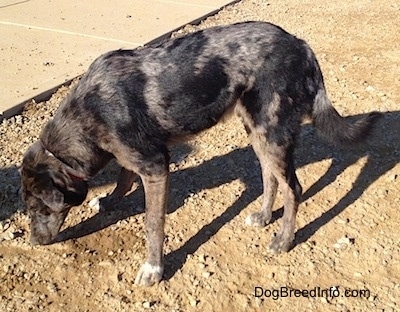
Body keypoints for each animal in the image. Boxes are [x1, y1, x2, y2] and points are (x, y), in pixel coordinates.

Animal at [19, 21, 382, 286]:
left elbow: (152, 224)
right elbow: (123, 180)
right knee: (269, 176)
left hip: (272, 132)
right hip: (257, 131)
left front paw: (153, 268)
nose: (34, 242)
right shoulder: (133, 156)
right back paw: (264, 216)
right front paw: (108, 201)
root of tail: (300, 44)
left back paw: (283, 239)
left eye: (39, 207)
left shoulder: (155, 166)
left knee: (294, 188)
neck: (88, 113)